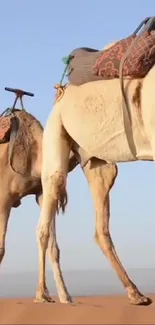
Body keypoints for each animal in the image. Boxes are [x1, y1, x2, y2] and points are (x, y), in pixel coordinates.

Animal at [35, 62, 155, 306]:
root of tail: (61, 92)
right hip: (56, 129)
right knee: (50, 199)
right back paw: (42, 293)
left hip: (98, 164)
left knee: (101, 227)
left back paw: (135, 293)